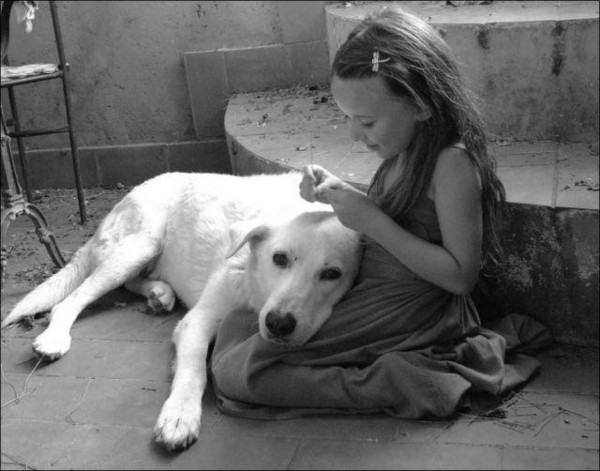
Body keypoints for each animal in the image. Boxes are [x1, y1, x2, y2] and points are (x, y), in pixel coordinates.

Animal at [1, 171, 360, 452]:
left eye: (332, 274)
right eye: (279, 258)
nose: (278, 324)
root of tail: (132, 191)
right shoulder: (197, 320)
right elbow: (193, 371)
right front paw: (179, 416)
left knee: (132, 281)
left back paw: (159, 294)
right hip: (140, 245)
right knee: (72, 299)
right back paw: (54, 339)